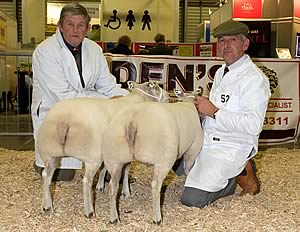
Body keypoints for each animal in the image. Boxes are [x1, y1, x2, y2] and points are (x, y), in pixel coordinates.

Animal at [36, 81, 169, 218]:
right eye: (157, 87)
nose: (169, 96)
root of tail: (64, 119)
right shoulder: (123, 152)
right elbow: (126, 171)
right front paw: (126, 192)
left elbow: (105, 168)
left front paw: (100, 187)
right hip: (91, 156)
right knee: (86, 181)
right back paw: (89, 211)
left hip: (49, 153)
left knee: (46, 175)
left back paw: (47, 206)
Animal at [102, 95, 203, 223]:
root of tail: (132, 121)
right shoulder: (193, 148)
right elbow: (188, 168)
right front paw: (188, 179)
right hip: (164, 159)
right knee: (155, 185)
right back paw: (157, 218)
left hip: (114, 158)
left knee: (113, 186)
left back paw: (114, 218)